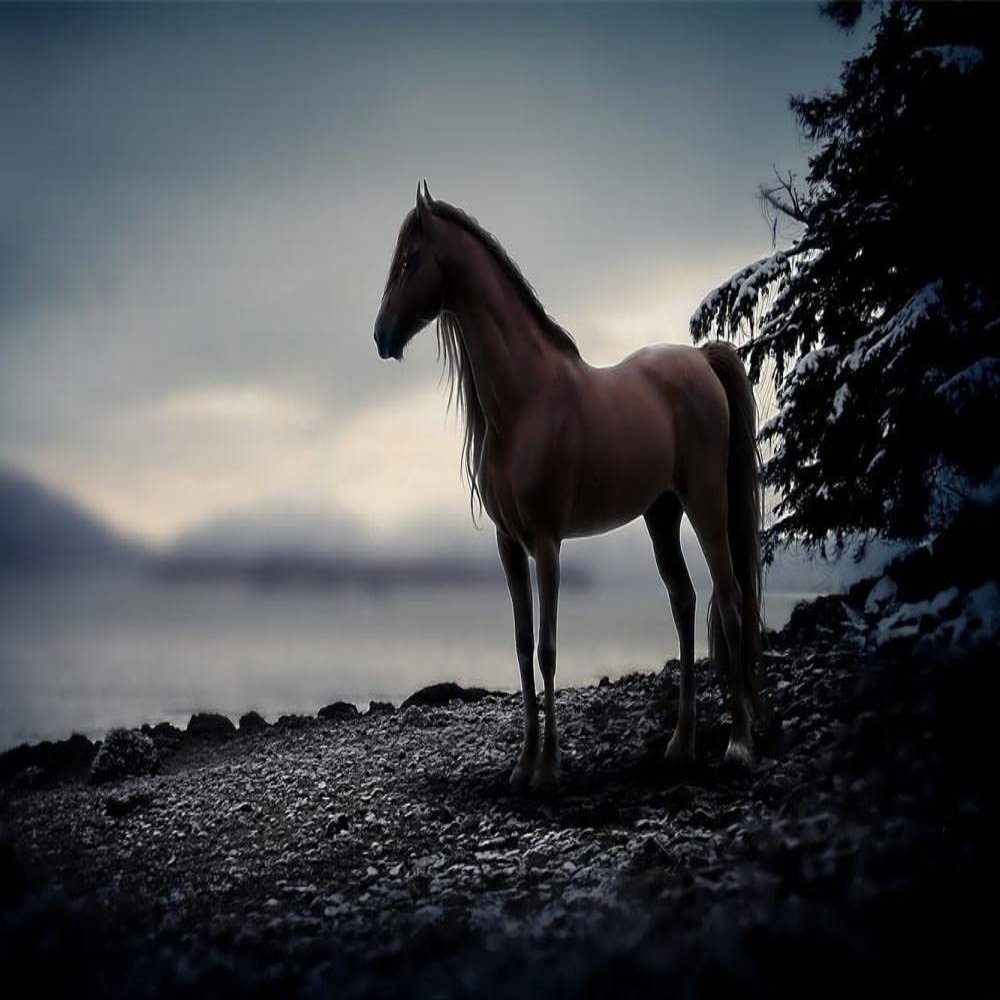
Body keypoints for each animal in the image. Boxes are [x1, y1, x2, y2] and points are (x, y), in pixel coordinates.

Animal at [373, 182, 764, 789]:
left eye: (410, 259)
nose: (381, 335)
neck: (527, 400)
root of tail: (701, 359)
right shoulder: (509, 545)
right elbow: (520, 647)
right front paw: (523, 763)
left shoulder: (546, 542)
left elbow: (549, 649)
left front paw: (549, 767)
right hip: (662, 514)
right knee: (683, 602)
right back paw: (679, 744)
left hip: (706, 503)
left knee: (729, 600)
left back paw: (739, 746)